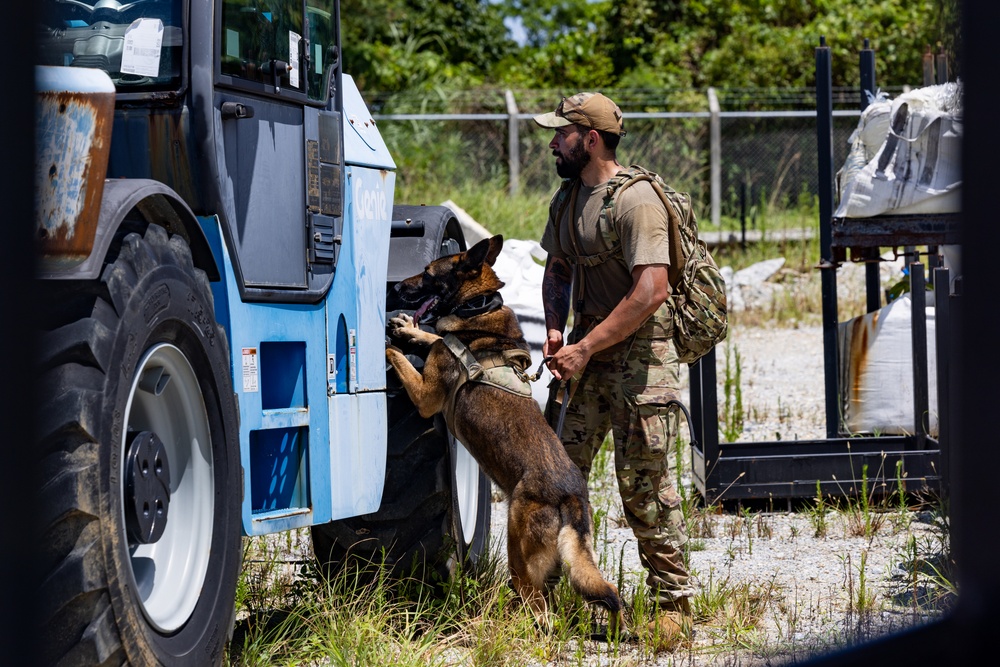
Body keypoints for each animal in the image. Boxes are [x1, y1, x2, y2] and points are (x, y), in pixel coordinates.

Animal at [386, 236, 620, 636]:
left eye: (428, 273)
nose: (398, 287)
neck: (477, 307)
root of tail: (570, 496)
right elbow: (433, 336)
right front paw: (408, 330)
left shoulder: (426, 396)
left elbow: (405, 353)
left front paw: (384, 344)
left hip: (518, 550)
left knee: (538, 607)